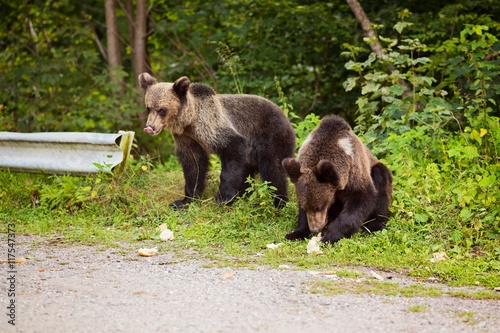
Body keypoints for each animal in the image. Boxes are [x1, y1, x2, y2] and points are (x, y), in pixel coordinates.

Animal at [140, 72, 296, 208]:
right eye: (148, 108)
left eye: (161, 109)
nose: (150, 127)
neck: (189, 122)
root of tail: (284, 115)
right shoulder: (187, 138)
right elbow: (193, 166)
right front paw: (184, 201)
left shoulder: (212, 126)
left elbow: (232, 149)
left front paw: (223, 197)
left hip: (271, 136)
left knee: (272, 169)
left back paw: (277, 203)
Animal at [282, 115, 394, 244]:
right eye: (306, 207)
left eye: (319, 207)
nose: (315, 228)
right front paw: (295, 233)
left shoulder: (354, 171)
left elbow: (361, 199)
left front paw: (329, 234)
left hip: (378, 170)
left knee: (381, 182)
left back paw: (374, 226)